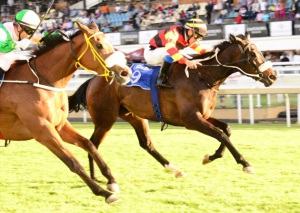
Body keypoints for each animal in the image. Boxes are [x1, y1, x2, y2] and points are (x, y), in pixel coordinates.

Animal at [0, 21, 131, 203]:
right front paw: (103, 192)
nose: (125, 73)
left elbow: (89, 144)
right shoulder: (42, 130)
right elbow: (72, 162)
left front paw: (111, 180)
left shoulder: (59, 125)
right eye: (99, 45)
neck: (42, 80)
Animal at [69, 32, 278, 186]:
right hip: (106, 119)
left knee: (146, 144)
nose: (273, 76)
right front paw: (245, 163)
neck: (201, 76)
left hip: (133, 115)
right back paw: (98, 177)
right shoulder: (191, 120)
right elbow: (221, 135)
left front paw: (210, 157)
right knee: (92, 143)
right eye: (252, 54)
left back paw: (175, 169)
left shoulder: (203, 116)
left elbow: (226, 130)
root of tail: (94, 79)